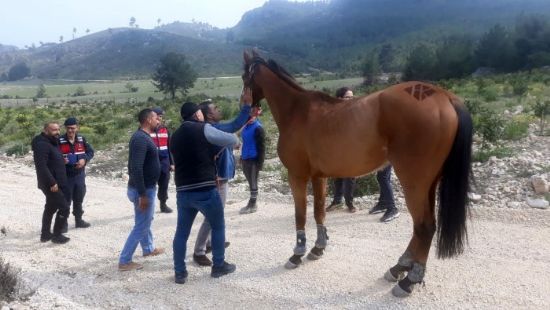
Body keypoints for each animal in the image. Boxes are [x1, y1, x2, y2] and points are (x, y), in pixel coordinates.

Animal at [244, 49, 476, 296]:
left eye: (244, 76)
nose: (245, 105)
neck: (298, 111)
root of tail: (444, 96)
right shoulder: (319, 177)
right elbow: (319, 212)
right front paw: (318, 248)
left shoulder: (297, 176)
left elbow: (301, 214)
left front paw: (297, 254)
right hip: (429, 184)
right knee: (422, 227)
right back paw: (399, 268)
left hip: (414, 183)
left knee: (424, 227)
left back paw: (408, 280)